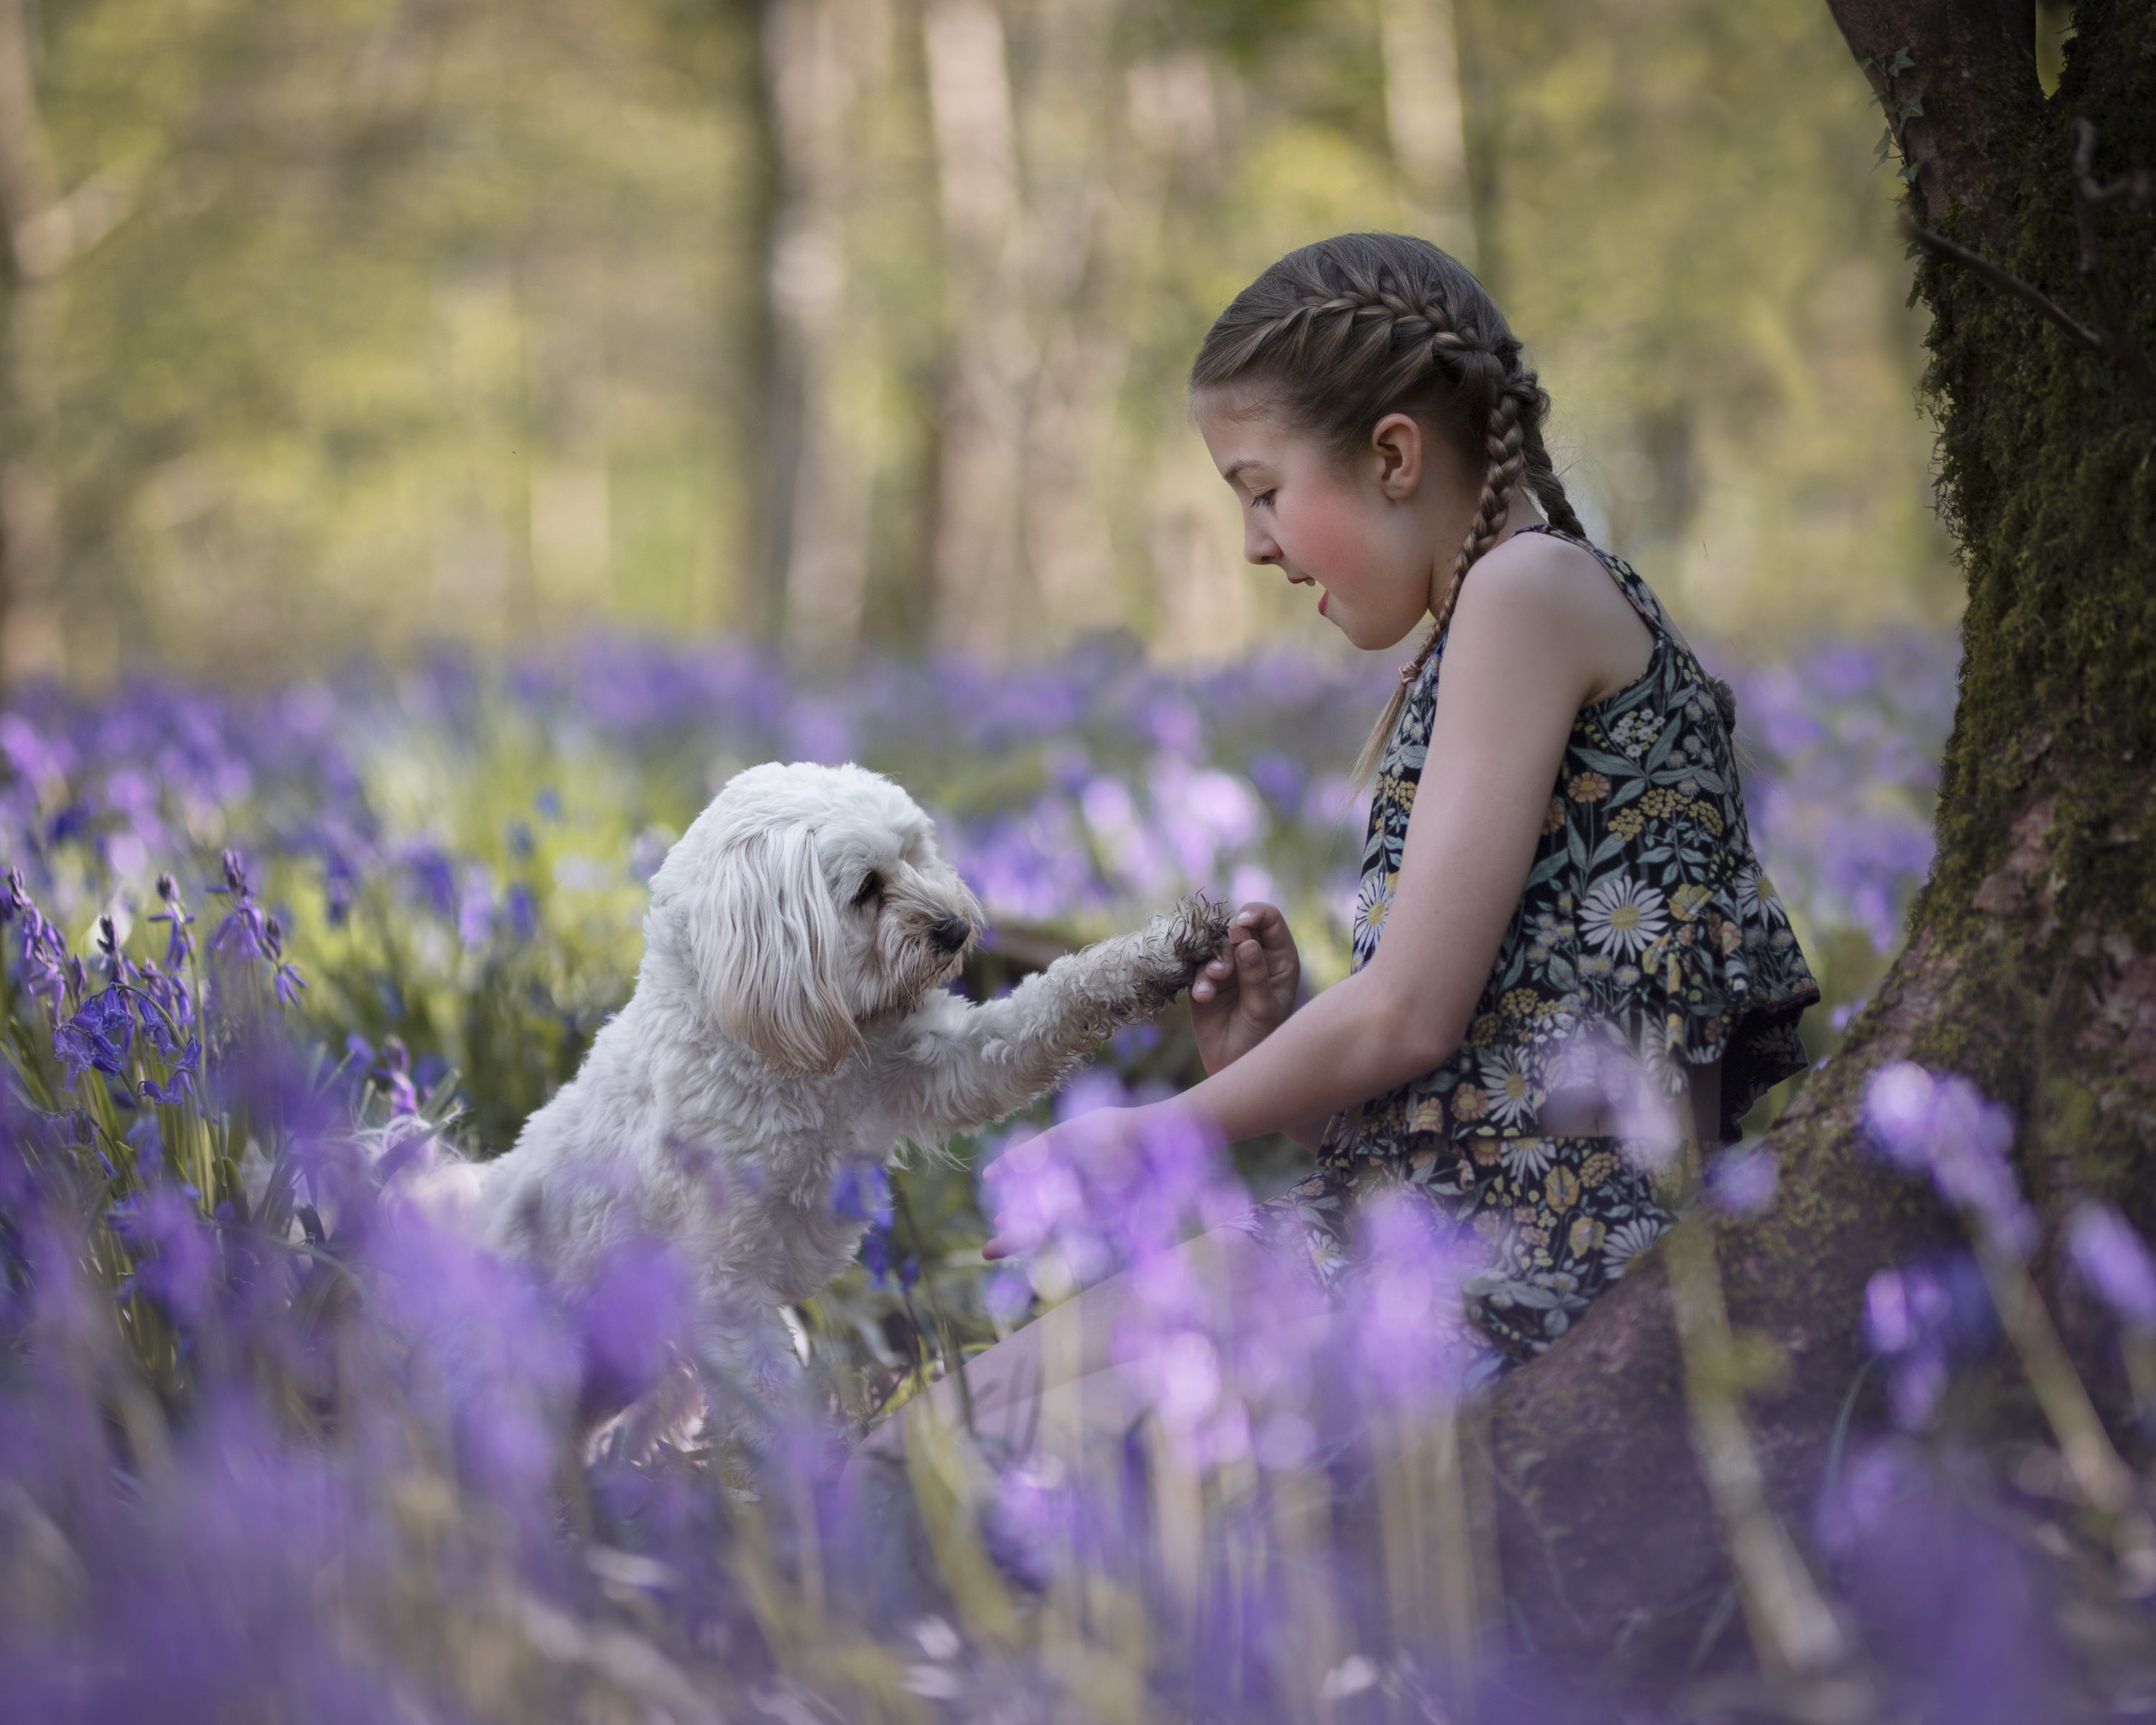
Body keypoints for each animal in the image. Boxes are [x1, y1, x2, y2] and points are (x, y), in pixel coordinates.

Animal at [474, 763, 1242, 1432]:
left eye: (913, 854)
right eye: (868, 887)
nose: (955, 928)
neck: (783, 1058)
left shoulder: (935, 1066)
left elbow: (1050, 1003)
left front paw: (1166, 953)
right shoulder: (724, 1289)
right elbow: (771, 1407)